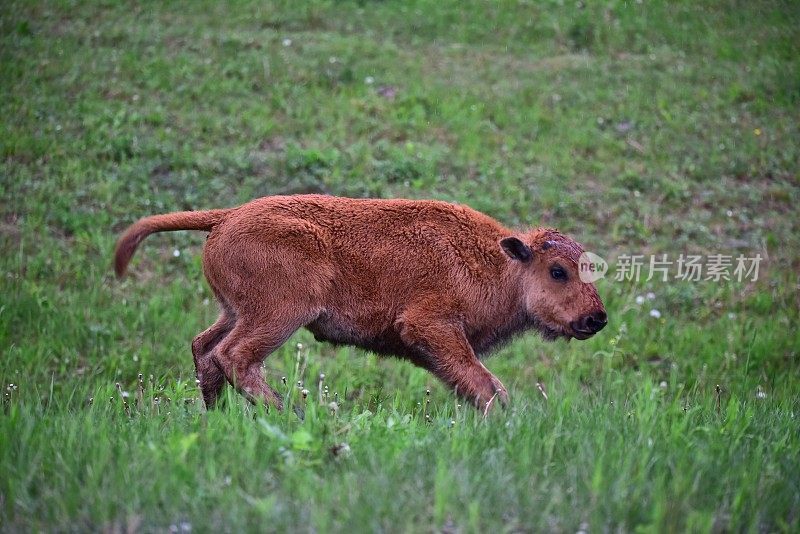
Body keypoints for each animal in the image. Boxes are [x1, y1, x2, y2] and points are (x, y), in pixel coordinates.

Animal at [114, 196, 608, 414]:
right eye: (558, 271)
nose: (596, 318)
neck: (500, 262)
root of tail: (227, 216)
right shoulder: (430, 325)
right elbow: (485, 383)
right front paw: (502, 415)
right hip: (279, 314)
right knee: (233, 355)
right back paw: (288, 411)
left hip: (235, 311)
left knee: (205, 347)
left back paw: (216, 414)